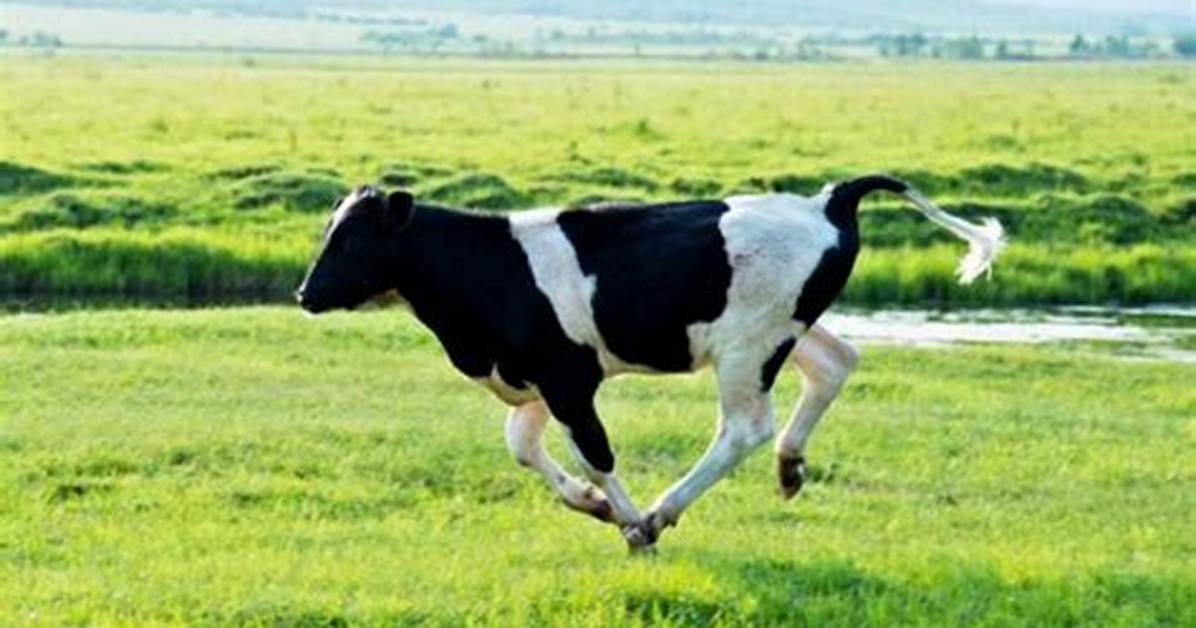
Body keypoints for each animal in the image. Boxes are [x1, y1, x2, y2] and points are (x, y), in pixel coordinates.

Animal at [295, 175, 1004, 551]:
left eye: (351, 240)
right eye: (329, 230)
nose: (304, 293)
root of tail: (826, 200)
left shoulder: (568, 378)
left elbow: (595, 452)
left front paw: (630, 521)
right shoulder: (535, 379)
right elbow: (522, 446)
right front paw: (592, 505)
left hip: (748, 345)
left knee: (744, 429)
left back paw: (664, 510)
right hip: (786, 329)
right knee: (835, 362)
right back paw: (790, 468)